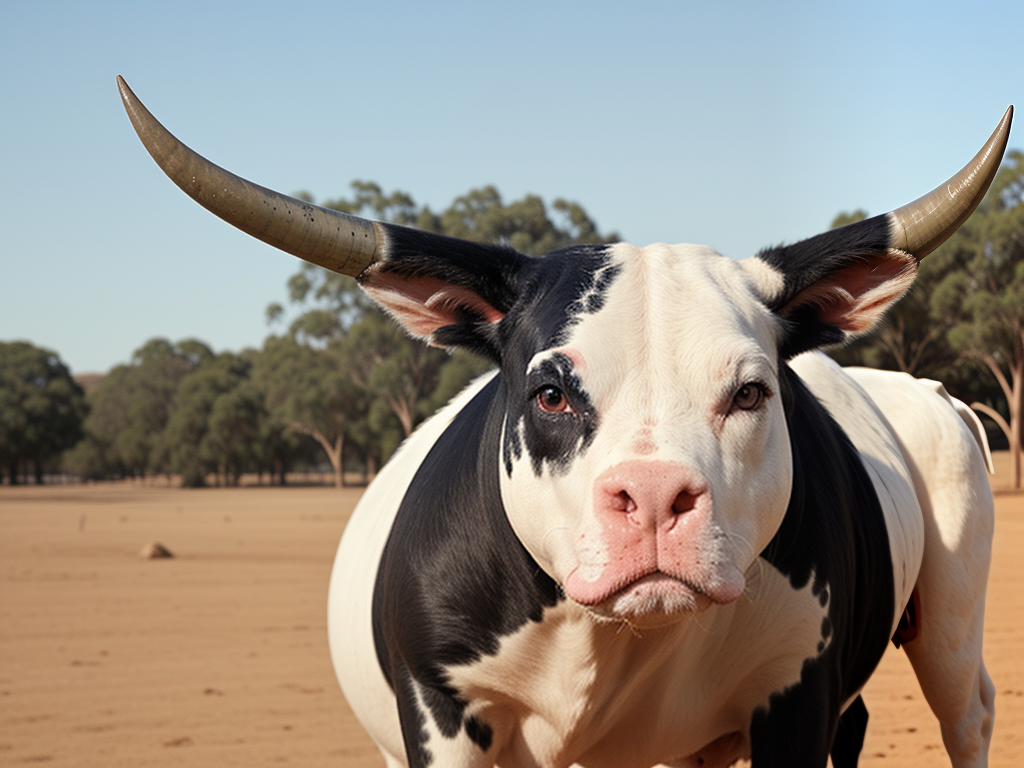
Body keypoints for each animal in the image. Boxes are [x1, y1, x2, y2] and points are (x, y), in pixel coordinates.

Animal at [117, 76, 1011, 767]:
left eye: (752, 393)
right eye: (550, 393)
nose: (653, 500)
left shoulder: (794, 699)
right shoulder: (442, 712)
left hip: (951, 622)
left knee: (968, 714)